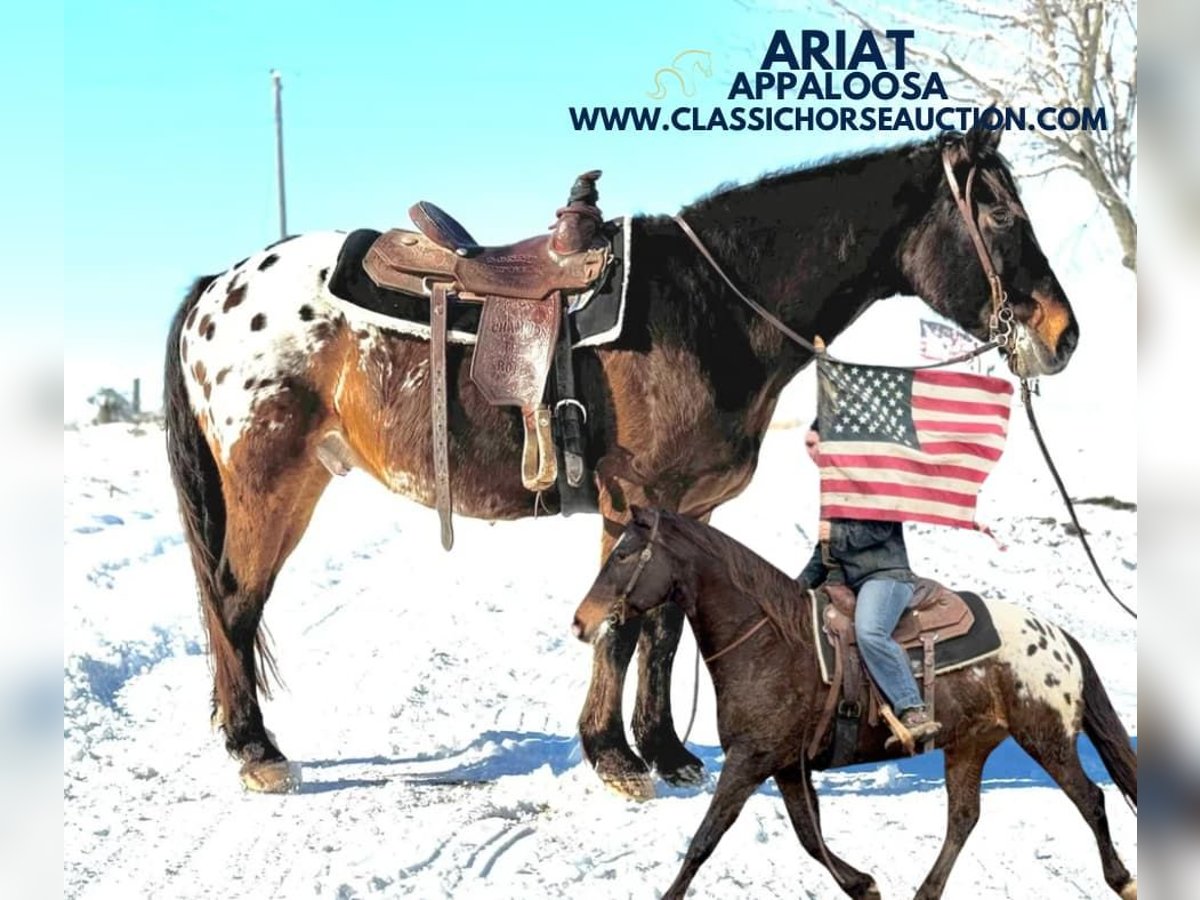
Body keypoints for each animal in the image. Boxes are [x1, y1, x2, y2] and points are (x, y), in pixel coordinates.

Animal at [162, 121, 1080, 796]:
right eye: (1001, 215)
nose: (1063, 335)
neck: (710, 309)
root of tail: (219, 288)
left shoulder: (688, 510)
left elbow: (664, 629)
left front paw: (664, 750)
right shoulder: (634, 499)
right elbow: (620, 628)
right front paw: (614, 757)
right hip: (270, 482)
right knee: (234, 603)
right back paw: (256, 750)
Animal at [571, 511, 1132, 900]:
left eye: (624, 556)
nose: (581, 621)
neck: (774, 640)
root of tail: (1058, 636)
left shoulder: (749, 761)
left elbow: (705, 839)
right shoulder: (787, 766)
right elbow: (808, 835)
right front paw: (865, 885)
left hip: (1047, 739)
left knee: (1091, 799)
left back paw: (1123, 880)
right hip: (970, 745)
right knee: (963, 818)